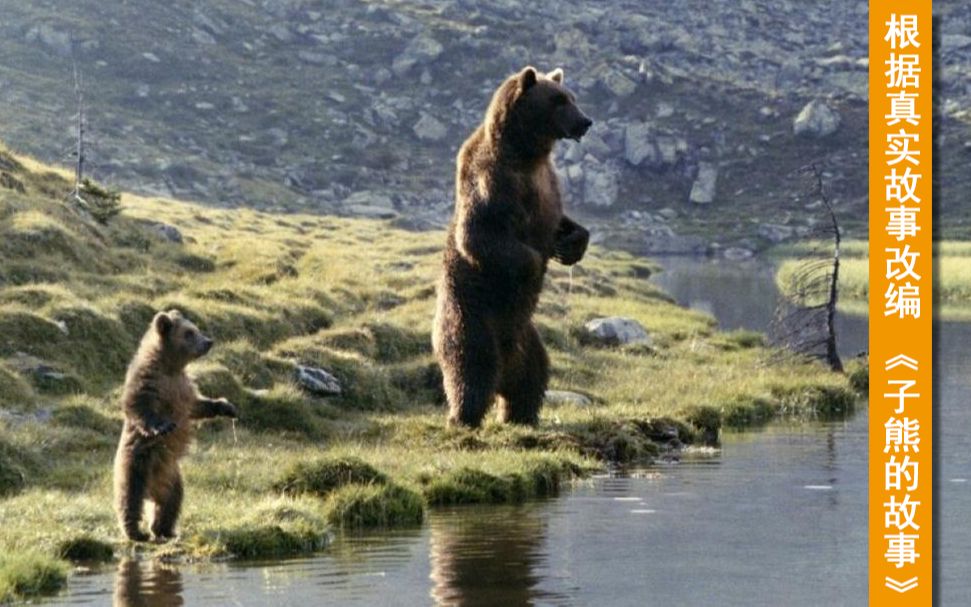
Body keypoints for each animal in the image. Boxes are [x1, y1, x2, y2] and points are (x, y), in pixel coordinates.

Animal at [111, 312, 235, 544]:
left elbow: (197, 406)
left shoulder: (184, 389)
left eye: (195, 328)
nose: (208, 341)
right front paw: (164, 426)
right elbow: (139, 405)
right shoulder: (149, 381)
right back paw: (136, 532)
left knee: (171, 503)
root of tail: (152, 490)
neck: (170, 367)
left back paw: (165, 529)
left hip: (172, 477)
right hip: (137, 463)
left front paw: (225, 406)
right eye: (189, 333)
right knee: (130, 497)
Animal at [434, 66, 592, 428]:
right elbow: (479, 235)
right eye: (558, 100)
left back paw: (522, 414)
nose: (585, 121)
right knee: (471, 372)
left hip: (528, 339)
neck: (527, 153)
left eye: (572, 97)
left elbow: (560, 220)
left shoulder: (547, 182)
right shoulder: (494, 180)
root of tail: (504, 374)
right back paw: (463, 417)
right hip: (472, 321)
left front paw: (572, 244)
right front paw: (535, 264)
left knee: (533, 376)